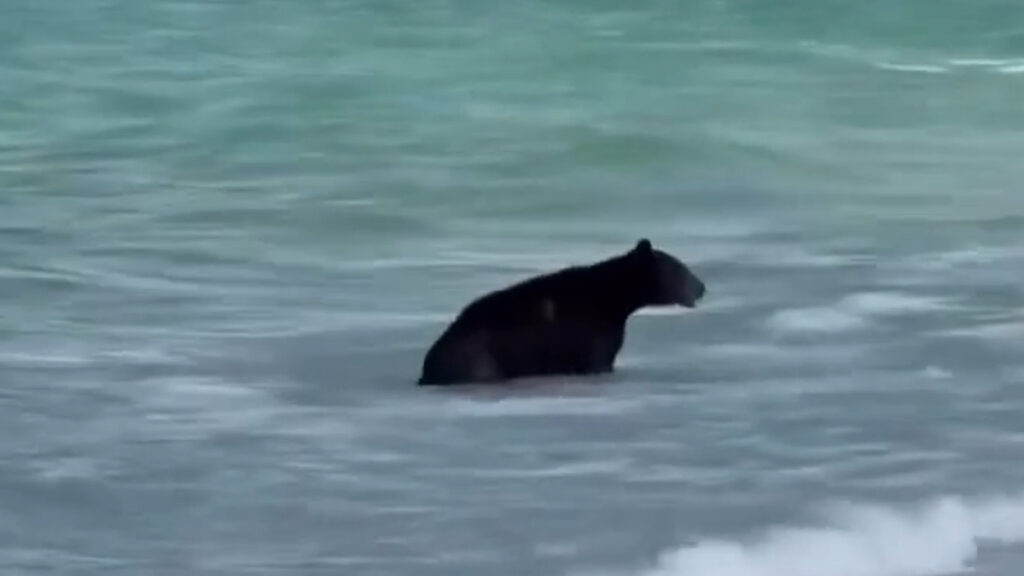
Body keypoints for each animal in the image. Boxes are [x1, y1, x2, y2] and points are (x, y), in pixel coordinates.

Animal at [416, 238, 706, 386]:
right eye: (681, 268)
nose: (702, 287)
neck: (615, 296)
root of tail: (429, 365)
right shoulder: (593, 333)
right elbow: (597, 360)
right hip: (480, 359)